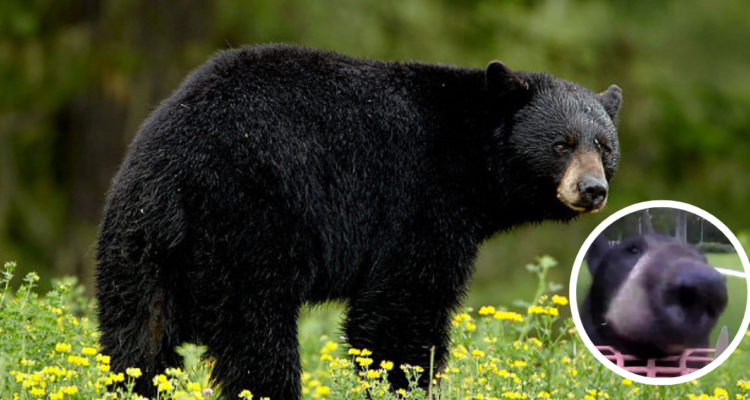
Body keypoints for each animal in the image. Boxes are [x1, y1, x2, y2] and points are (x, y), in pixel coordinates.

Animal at [96, 44, 622, 399]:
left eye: (604, 147)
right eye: (561, 144)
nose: (592, 189)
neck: (470, 154)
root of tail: (173, 170)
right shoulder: (418, 198)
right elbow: (402, 310)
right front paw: (408, 383)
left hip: (136, 246)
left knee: (136, 339)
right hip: (249, 225)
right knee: (256, 336)